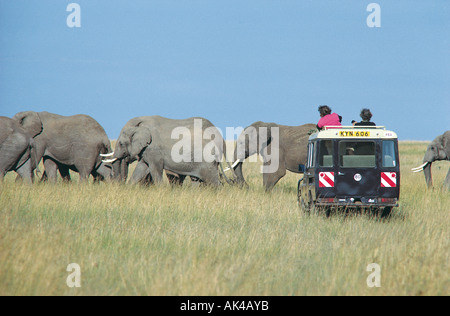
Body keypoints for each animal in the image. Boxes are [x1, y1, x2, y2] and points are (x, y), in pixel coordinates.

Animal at [104, 115, 234, 185]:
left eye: (121, 144)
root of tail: (221, 139)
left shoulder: (154, 149)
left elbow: (155, 169)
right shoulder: (147, 151)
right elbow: (141, 168)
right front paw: (130, 187)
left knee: (213, 181)